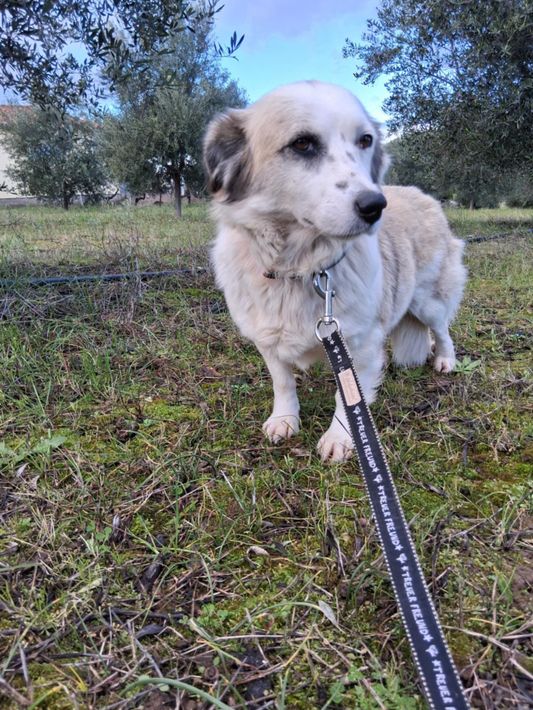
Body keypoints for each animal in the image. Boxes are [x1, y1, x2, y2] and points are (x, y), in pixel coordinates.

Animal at [204, 81, 466, 462]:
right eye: (302, 144)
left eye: (365, 140)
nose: (375, 206)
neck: (301, 268)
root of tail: (423, 195)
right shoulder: (267, 339)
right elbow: (283, 382)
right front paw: (284, 419)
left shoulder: (361, 343)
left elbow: (350, 395)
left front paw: (342, 437)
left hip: (428, 299)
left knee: (442, 328)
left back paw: (445, 360)